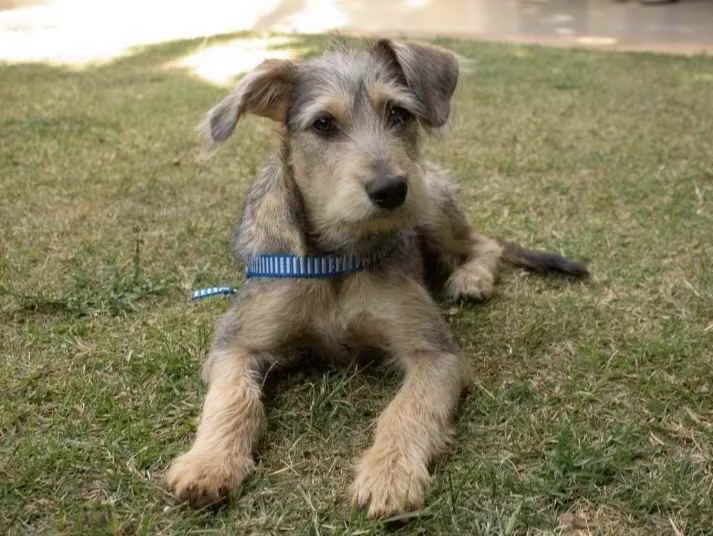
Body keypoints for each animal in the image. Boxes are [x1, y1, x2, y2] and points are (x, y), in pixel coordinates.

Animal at [165, 39, 589, 519]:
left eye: (399, 114)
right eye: (323, 124)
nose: (391, 190)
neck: (337, 258)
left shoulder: (434, 353)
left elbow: (407, 409)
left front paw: (390, 474)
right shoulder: (236, 344)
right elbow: (232, 398)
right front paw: (208, 463)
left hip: (434, 207)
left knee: (485, 243)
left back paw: (472, 278)